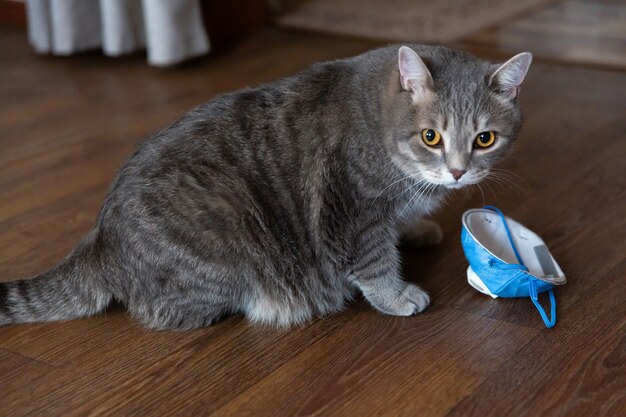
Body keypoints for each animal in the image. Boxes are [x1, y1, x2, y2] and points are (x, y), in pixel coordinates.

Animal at [0, 45, 528, 330]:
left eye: (484, 139)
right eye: (430, 137)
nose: (457, 172)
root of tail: (100, 238)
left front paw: (417, 229)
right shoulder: (352, 213)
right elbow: (375, 263)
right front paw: (397, 296)